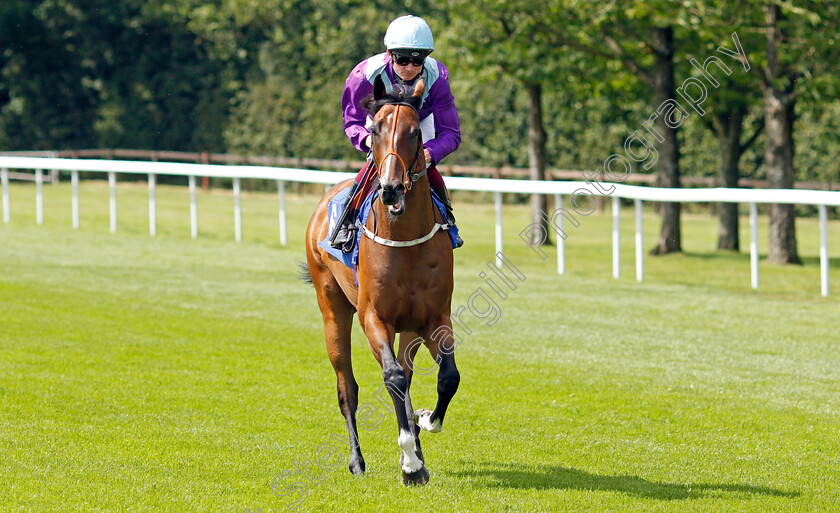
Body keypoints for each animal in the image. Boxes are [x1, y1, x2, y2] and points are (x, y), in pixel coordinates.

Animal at [302, 76, 460, 484]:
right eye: (374, 130)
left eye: (414, 133)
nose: (390, 189)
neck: (405, 240)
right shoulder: (374, 317)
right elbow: (392, 378)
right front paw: (409, 460)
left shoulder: (434, 318)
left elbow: (446, 378)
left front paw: (423, 424)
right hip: (332, 308)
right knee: (348, 387)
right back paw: (358, 461)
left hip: (409, 329)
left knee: (407, 374)